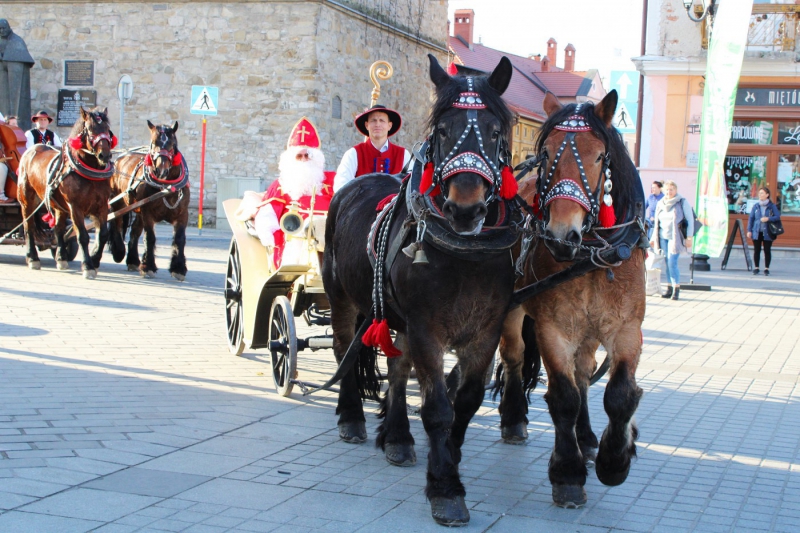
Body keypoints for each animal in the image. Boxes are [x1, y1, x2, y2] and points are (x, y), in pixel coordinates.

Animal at [17, 105, 115, 278]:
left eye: (107, 129)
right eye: (89, 129)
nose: (104, 155)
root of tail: (31, 150)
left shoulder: (102, 205)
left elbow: (102, 234)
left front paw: (95, 260)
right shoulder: (75, 207)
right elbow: (82, 236)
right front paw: (88, 265)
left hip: (58, 206)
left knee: (58, 228)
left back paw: (61, 257)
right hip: (27, 200)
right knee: (29, 227)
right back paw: (32, 257)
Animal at [109, 119, 191, 278]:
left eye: (172, 143)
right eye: (153, 143)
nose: (161, 169)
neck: (166, 187)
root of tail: (121, 157)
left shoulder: (182, 213)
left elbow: (179, 238)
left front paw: (178, 268)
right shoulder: (147, 213)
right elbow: (150, 237)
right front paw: (148, 266)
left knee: (134, 231)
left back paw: (133, 260)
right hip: (119, 203)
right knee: (116, 223)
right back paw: (119, 251)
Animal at [322, 54, 520, 524]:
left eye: (496, 131)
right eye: (442, 129)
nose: (465, 208)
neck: (467, 254)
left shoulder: (485, 331)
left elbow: (465, 401)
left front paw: (446, 459)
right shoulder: (428, 327)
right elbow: (437, 408)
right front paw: (445, 488)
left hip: (398, 317)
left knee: (397, 368)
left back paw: (397, 437)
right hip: (342, 298)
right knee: (344, 350)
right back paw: (351, 417)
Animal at [500, 90, 648, 508]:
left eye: (599, 157)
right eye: (547, 153)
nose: (561, 235)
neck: (592, 256)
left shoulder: (626, 328)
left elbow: (619, 394)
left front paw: (615, 459)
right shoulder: (554, 329)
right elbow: (564, 397)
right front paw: (567, 473)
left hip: (591, 328)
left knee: (584, 371)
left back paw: (588, 437)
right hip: (514, 311)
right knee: (514, 356)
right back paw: (513, 418)